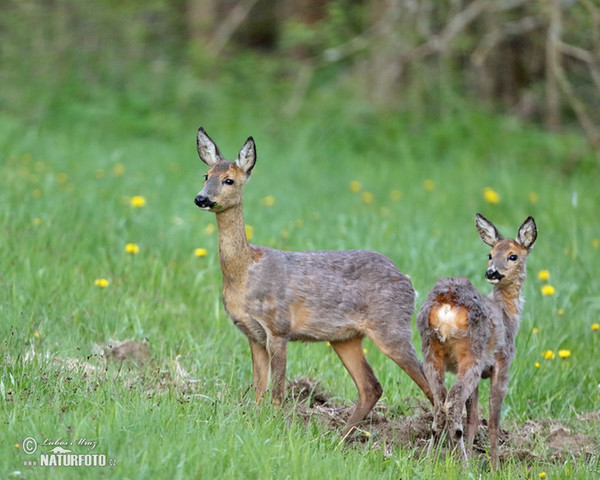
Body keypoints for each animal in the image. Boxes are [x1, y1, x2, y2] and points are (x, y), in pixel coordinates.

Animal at [192, 126, 432, 436]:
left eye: (229, 180)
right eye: (206, 175)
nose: (201, 199)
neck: (245, 272)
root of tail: (409, 283)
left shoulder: (278, 327)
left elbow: (277, 392)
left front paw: (274, 426)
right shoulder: (252, 333)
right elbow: (259, 389)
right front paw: (254, 423)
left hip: (391, 326)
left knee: (431, 383)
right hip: (346, 338)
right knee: (371, 386)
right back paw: (341, 438)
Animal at [414, 213, 536, 468]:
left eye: (512, 256)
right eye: (490, 254)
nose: (492, 272)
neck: (508, 315)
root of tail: (446, 304)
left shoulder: (481, 374)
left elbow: (473, 416)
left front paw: (473, 454)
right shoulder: (502, 362)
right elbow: (492, 418)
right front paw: (495, 466)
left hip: (431, 351)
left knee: (440, 403)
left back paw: (431, 459)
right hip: (471, 353)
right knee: (452, 403)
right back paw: (462, 463)